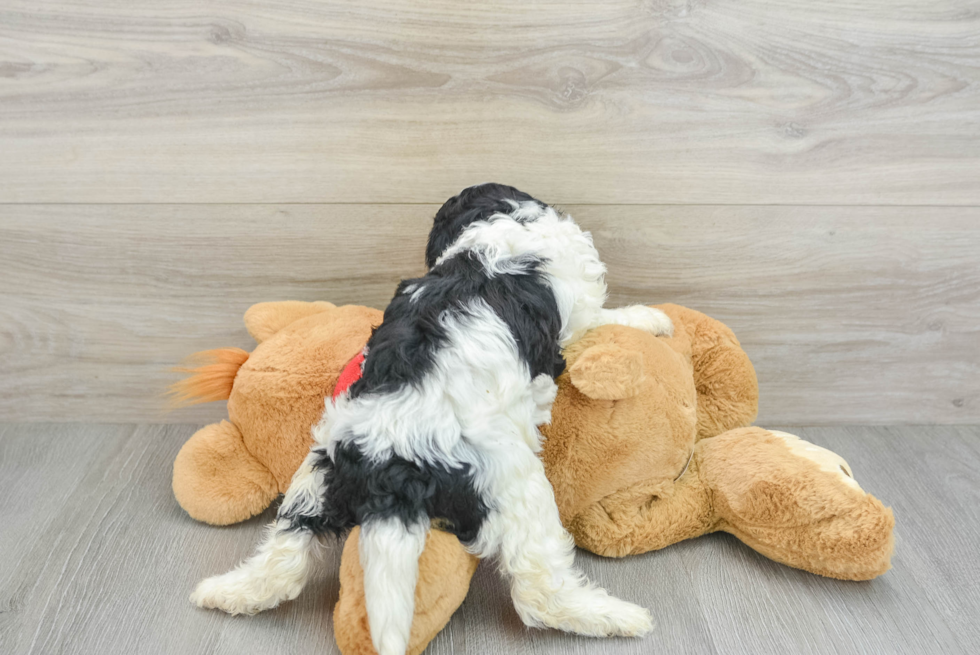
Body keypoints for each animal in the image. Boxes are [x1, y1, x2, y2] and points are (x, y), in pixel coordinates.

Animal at [190, 184, 668, 655]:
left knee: (284, 558)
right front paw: (650, 318)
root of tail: (391, 468)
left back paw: (226, 591)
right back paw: (616, 617)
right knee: (538, 593)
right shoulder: (577, 310)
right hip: (512, 487)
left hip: (318, 477)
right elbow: (601, 318)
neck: (499, 227)